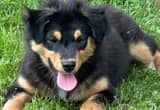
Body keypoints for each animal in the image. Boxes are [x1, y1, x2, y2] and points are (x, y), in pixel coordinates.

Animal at [2, 0, 160, 110]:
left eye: (81, 39)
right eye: (52, 39)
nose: (69, 65)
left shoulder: (106, 91)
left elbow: (90, 103)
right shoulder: (20, 86)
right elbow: (11, 103)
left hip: (138, 44)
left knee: (153, 47)